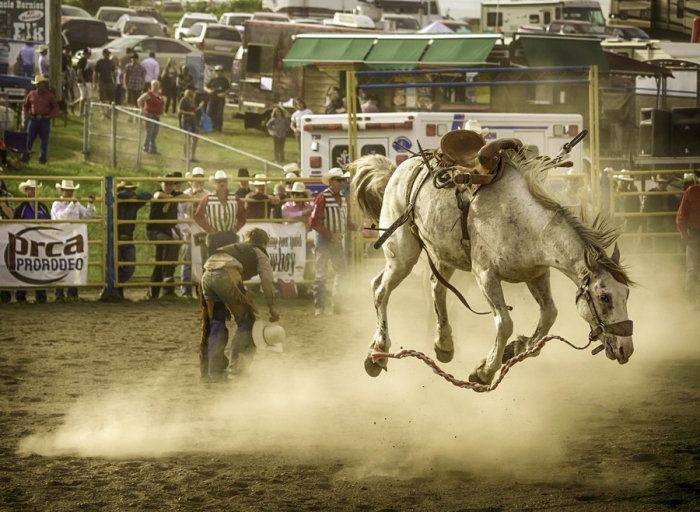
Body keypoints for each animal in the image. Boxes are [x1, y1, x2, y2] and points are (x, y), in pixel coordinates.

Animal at [350, 133, 636, 384]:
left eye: (626, 294)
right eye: (604, 297)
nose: (627, 349)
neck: (527, 222)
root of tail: (399, 169)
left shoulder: (537, 273)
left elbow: (549, 315)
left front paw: (519, 347)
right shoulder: (485, 275)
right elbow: (504, 323)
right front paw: (485, 371)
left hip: (444, 253)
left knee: (436, 287)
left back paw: (444, 344)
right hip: (402, 253)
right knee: (380, 289)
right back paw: (377, 353)